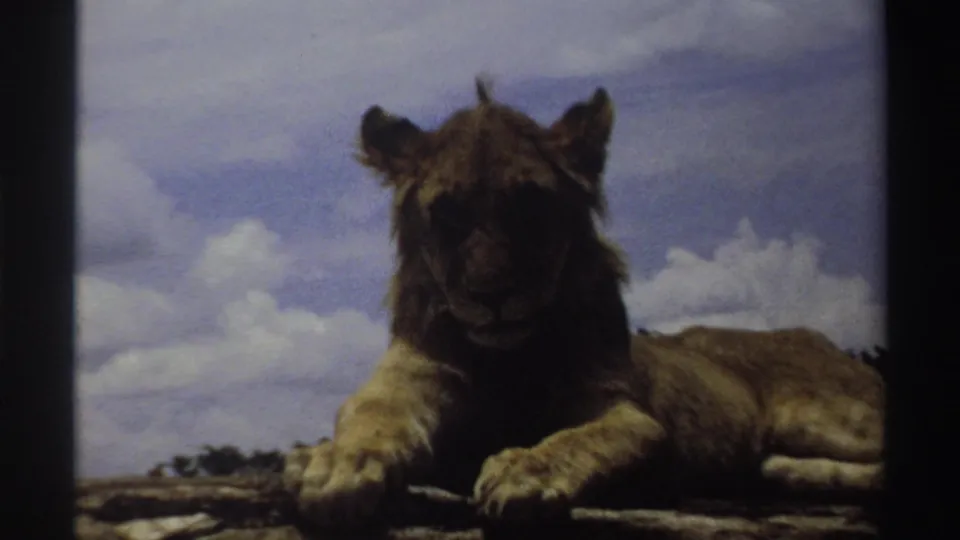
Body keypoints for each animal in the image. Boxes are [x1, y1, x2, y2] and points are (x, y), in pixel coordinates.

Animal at [283, 78, 885, 528]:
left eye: (531, 206)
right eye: (448, 213)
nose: (491, 295)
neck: (504, 358)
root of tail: (816, 336)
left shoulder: (625, 410)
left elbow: (590, 437)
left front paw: (527, 470)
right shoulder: (408, 380)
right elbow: (370, 417)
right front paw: (333, 462)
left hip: (826, 413)